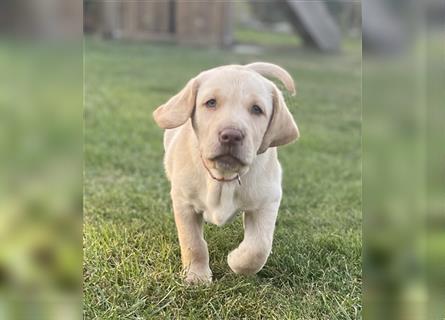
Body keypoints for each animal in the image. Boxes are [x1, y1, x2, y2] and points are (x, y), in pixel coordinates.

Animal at [152, 62, 298, 282]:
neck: (223, 176)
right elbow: (193, 243)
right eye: (211, 103)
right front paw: (197, 276)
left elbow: (259, 247)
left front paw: (236, 260)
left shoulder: (268, 200)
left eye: (257, 109)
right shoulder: (184, 203)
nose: (231, 135)